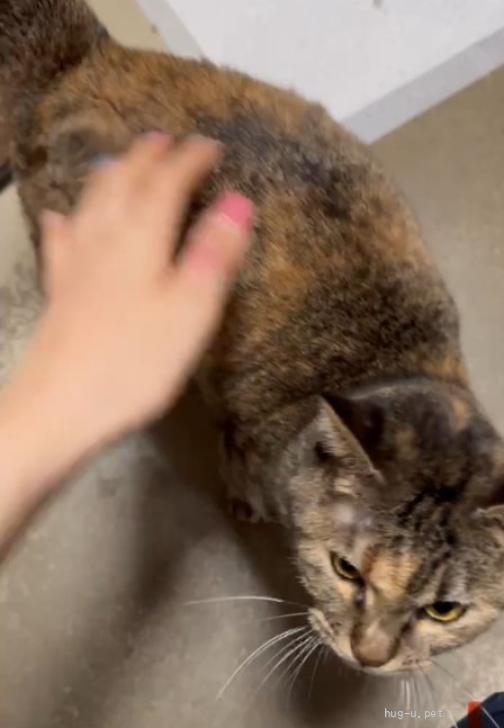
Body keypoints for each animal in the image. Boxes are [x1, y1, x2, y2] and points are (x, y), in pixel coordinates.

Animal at [1, 0, 504, 676]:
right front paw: (246, 502)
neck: (392, 357)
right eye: (346, 569)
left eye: (445, 610)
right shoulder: (245, 428)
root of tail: (89, 61)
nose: (369, 656)